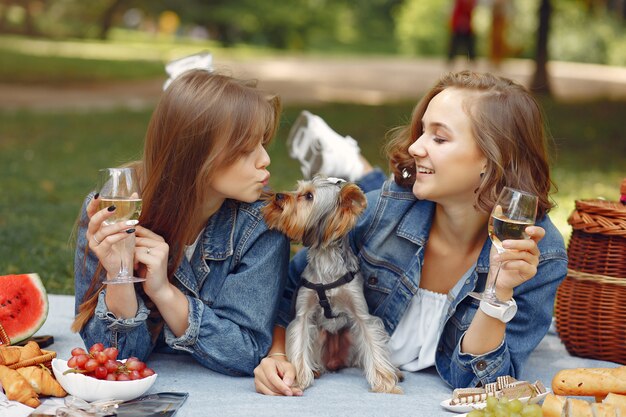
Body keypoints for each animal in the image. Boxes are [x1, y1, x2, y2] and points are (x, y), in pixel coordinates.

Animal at [262, 176, 400, 394]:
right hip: (319, 336)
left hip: (351, 336)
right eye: (297, 190)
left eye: (309, 196)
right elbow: (299, 342)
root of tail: (335, 362)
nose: (279, 195)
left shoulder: (361, 314)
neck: (326, 259)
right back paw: (315, 370)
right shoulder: (303, 314)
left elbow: (373, 342)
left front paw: (385, 382)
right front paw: (298, 379)